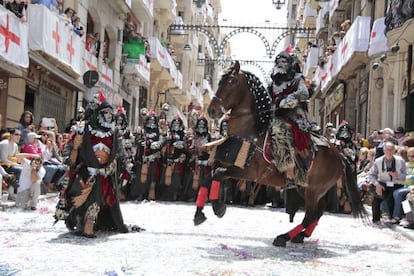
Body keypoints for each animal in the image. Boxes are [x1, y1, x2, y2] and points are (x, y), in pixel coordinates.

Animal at [207, 61, 366, 247]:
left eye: (231, 82)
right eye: (220, 82)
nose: (212, 110)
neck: (252, 132)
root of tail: (339, 156)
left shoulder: (252, 173)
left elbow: (220, 173)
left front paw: (218, 208)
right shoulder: (228, 162)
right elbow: (215, 174)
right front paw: (211, 207)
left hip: (313, 190)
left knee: (310, 215)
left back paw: (284, 237)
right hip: (305, 187)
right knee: (317, 212)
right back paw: (300, 236)